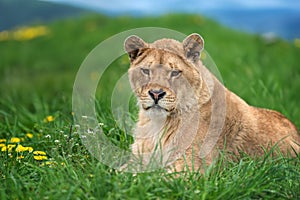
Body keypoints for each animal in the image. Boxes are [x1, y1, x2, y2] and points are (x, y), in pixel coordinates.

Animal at [123, 32, 298, 172]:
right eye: (146, 71)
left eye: (175, 73)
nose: (156, 93)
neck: (156, 122)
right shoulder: (137, 159)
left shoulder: (191, 168)